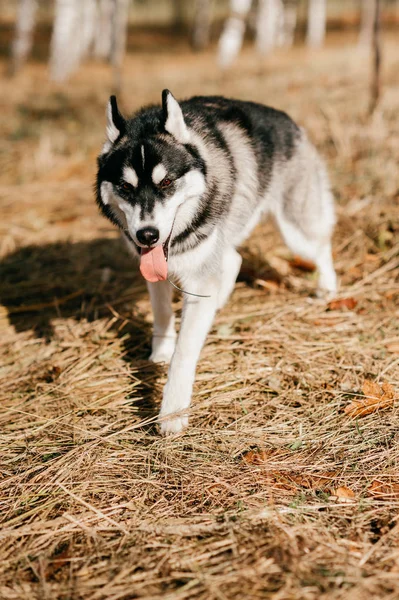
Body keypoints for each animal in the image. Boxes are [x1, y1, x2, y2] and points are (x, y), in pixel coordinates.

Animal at [97, 89, 338, 434]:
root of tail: (290, 121)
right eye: (125, 187)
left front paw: (172, 412)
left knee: (320, 246)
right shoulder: (157, 270)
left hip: (297, 232)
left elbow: (184, 354)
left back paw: (327, 288)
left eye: (166, 183)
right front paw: (160, 351)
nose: (147, 235)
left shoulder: (196, 276)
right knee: (233, 258)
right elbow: (162, 313)